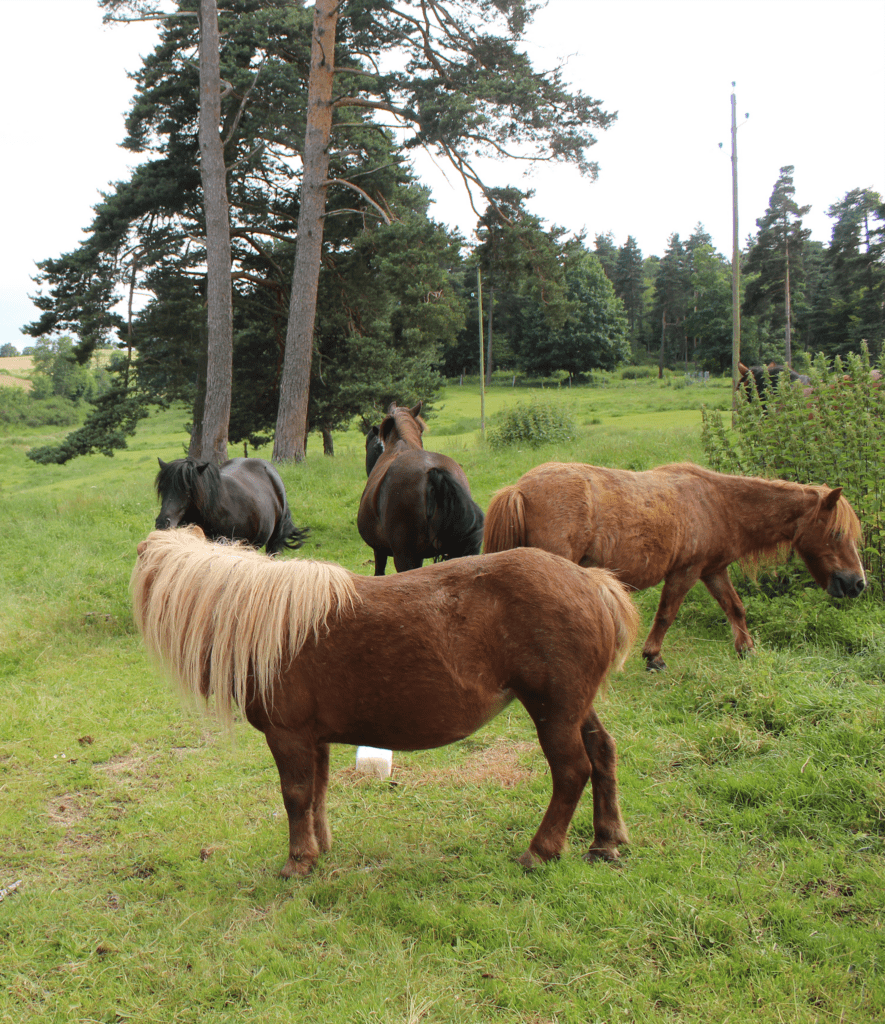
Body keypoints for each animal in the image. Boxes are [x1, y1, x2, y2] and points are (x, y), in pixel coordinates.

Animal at [131, 528, 639, 872]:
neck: (271, 624)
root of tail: (591, 581)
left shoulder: (287, 735)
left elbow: (295, 795)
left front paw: (297, 860)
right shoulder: (315, 738)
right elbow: (317, 792)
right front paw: (320, 848)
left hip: (553, 713)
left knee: (572, 772)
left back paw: (541, 850)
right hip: (574, 708)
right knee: (602, 753)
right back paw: (605, 840)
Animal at [483, 462, 864, 671]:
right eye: (837, 533)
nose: (857, 583)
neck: (718, 503)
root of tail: (520, 489)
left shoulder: (713, 571)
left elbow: (735, 608)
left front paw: (746, 649)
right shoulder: (686, 572)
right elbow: (666, 614)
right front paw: (653, 657)